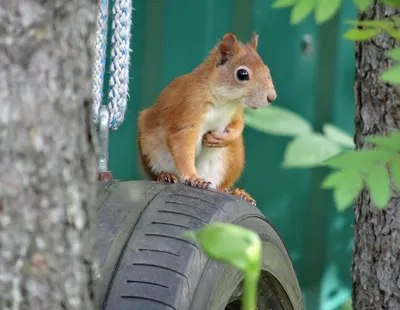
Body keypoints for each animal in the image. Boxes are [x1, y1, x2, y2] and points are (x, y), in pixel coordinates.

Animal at [137, 32, 276, 206]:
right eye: (242, 74)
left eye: (266, 69)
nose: (272, 97)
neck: (224, 102)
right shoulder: (189, 108)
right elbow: (181, 143)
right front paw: (192, 177)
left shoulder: (236, 113)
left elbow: (238, 126)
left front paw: (223, 139)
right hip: (150, 150)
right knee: (156, 172)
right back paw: (165, 175)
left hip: (232, 160)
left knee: (220, 187)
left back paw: (238, 193)